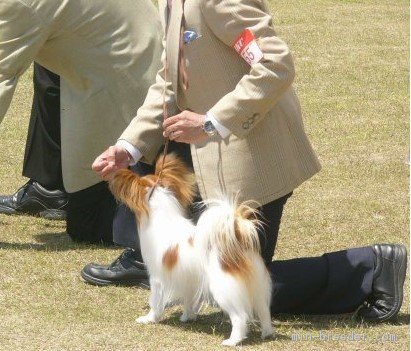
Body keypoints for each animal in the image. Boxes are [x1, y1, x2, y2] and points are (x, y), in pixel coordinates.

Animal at [110, 154, 274, 346]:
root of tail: (236, 239)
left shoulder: (157, 278)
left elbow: (155, 301)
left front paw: (150, 318)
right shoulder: (189, 278)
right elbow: (189, 300)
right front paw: (187, 317)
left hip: (223, 287)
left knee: (240, 317)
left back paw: (233, 340)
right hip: (257, 285)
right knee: (264, 310)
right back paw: (267, 333)